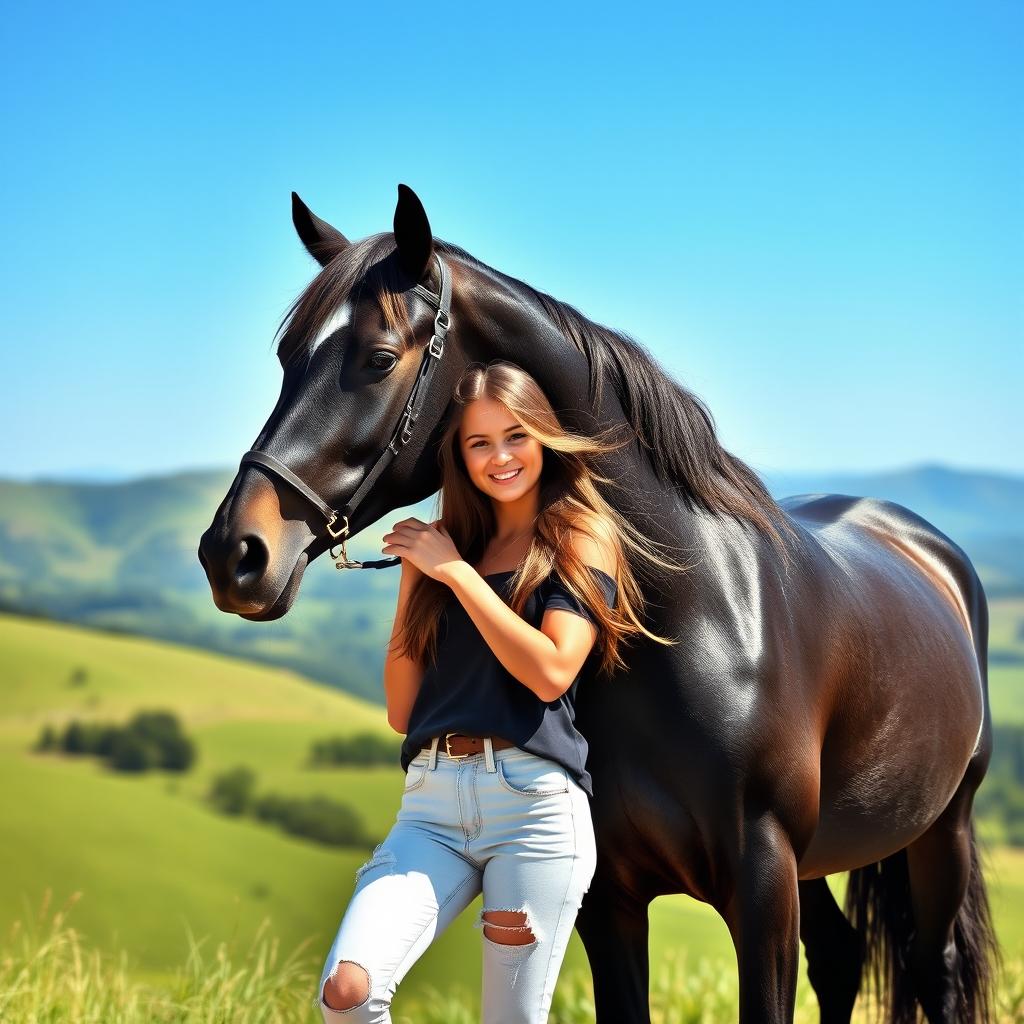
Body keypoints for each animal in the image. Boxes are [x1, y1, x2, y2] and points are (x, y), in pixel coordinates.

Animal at [198, 184, 998, 1024]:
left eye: (380, 359)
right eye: (287, 360)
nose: (233, 553)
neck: (691, 625)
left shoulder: (762, 885)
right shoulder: (610, 898)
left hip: (939, 833)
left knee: (934, 969)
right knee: (841, 957)